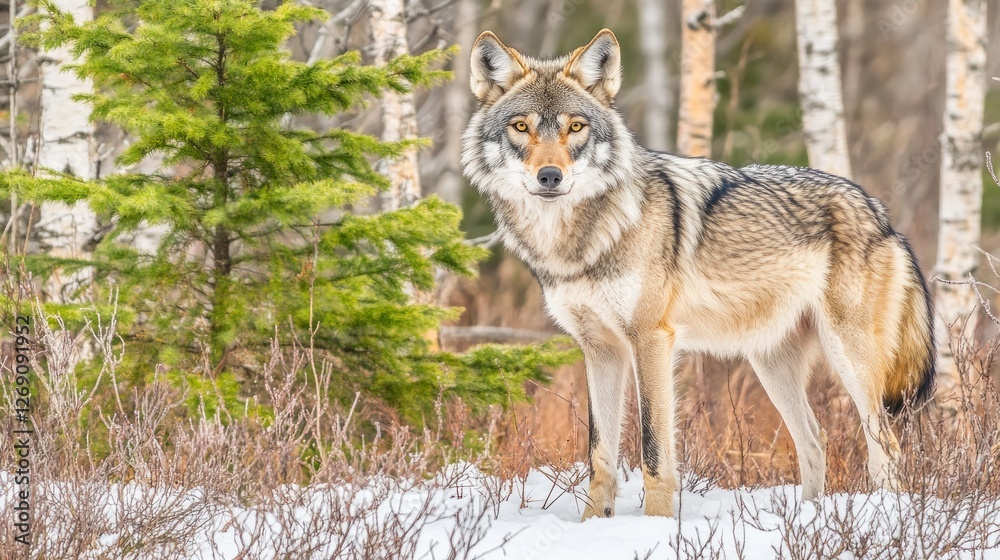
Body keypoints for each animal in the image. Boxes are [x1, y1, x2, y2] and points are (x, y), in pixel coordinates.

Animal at [461, 29, 935, 520]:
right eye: (521, 127)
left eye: (576, 127)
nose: (550, 176)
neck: (577, 244)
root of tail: (883, 216)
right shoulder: (599, 349)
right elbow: (600, 454)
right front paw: (594, 524)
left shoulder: (651, 340)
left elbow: (653, 451)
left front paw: (654, 524)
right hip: (771, 364)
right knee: (815, 439)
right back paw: (807, 519)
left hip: (850, 361)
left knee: (885, 445)